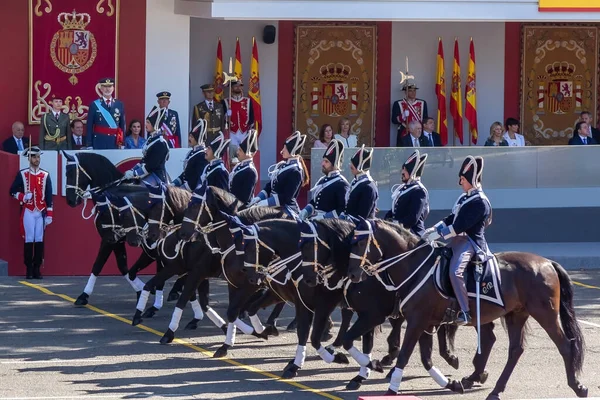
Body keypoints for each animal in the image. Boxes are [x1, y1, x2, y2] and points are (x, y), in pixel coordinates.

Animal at [298, 219, 462, 390]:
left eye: (309, 245)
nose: (308, 279)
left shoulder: (372, 315)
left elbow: (352, 340)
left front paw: (370, 367)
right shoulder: (360, 313)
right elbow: (362, 343)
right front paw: (362, 372)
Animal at [346, 219, 584, 400]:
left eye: (360, 242)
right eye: (351, 241)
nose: (353, 274)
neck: (416, 266)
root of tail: (547, 262)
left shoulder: (417, 321)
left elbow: (406, 354)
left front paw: (390, 387)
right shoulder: (425, 322)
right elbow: (425, 357)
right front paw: (451, 383)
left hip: (545, 313)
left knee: (565, 345)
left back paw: (577, 386)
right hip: (516, 314)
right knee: (514, 350)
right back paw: (493, 389)